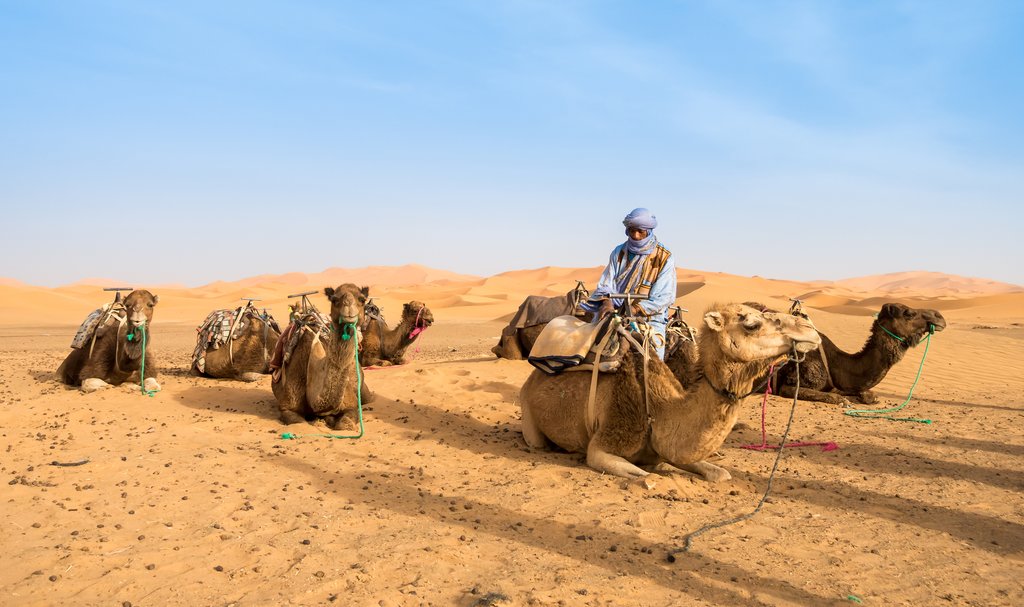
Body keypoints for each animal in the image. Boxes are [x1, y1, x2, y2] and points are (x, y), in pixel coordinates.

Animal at [271, 284, 374, 429]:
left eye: (362, 299)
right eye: (334, 300)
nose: (348, 307)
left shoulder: (352, 405)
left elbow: (344, 424)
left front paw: (331, 420)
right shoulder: (286, 407)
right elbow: (300, 423)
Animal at [518, 303, 821, 482]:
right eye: (751, 324)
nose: (811, 330)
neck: (659, 412)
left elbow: (720, 474)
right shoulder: (604, 445)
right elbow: (644, 475)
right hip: (528, 414)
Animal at [769, 302, 947, 405]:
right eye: (908, 313)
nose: (939, 317)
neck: (834, 362)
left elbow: (870, 395)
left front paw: (859, 397)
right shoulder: (792, 383)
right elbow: (834, 397)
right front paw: (844, 400)